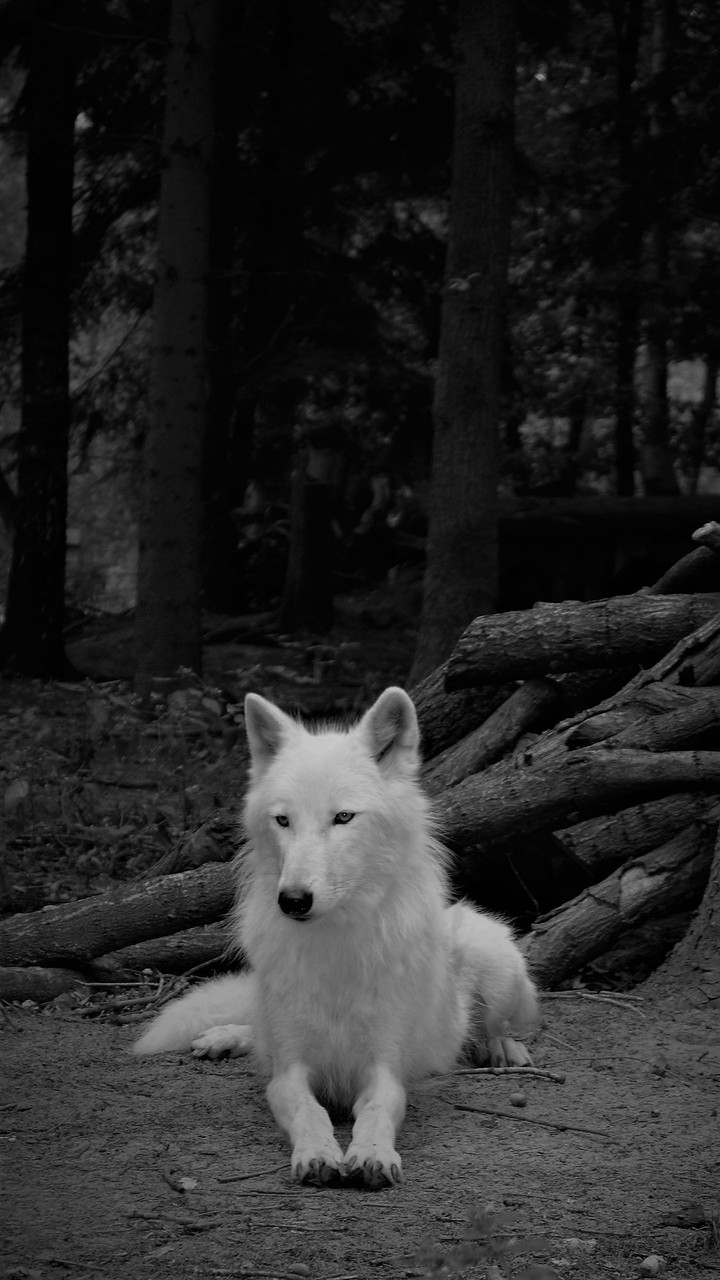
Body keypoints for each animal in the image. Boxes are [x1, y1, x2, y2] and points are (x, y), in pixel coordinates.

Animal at [134, 686, 538, 1188]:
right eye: (283, 820)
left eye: (343, 817)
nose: (292, 900)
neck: (334, 943)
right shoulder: (288, 1071)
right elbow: (309, 1111)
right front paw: (317, 1154)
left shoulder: (384, 1069)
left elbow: (378, 1109)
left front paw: (371, 1154)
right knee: (256, 1029)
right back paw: (226, 1036)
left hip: (495, 961)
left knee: (497, 1024)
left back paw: (501, 1047)